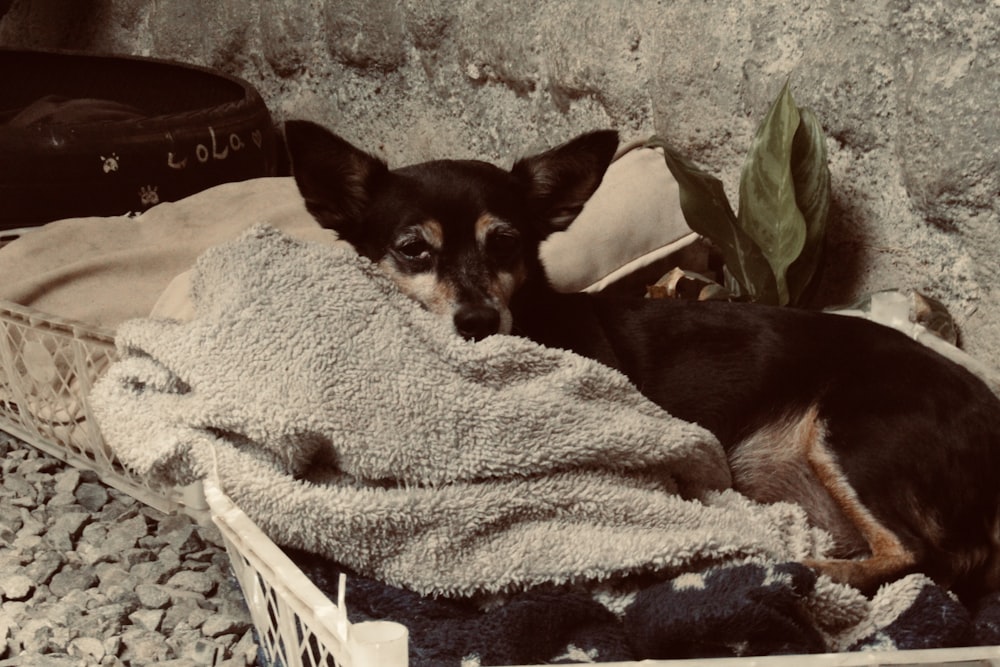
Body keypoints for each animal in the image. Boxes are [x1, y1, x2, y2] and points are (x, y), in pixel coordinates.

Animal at [280, 120, 1000, 600]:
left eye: (506, 242)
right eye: (412, 249)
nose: (479, 323)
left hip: (852, 432)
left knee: (919, 556)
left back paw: (800, 571)